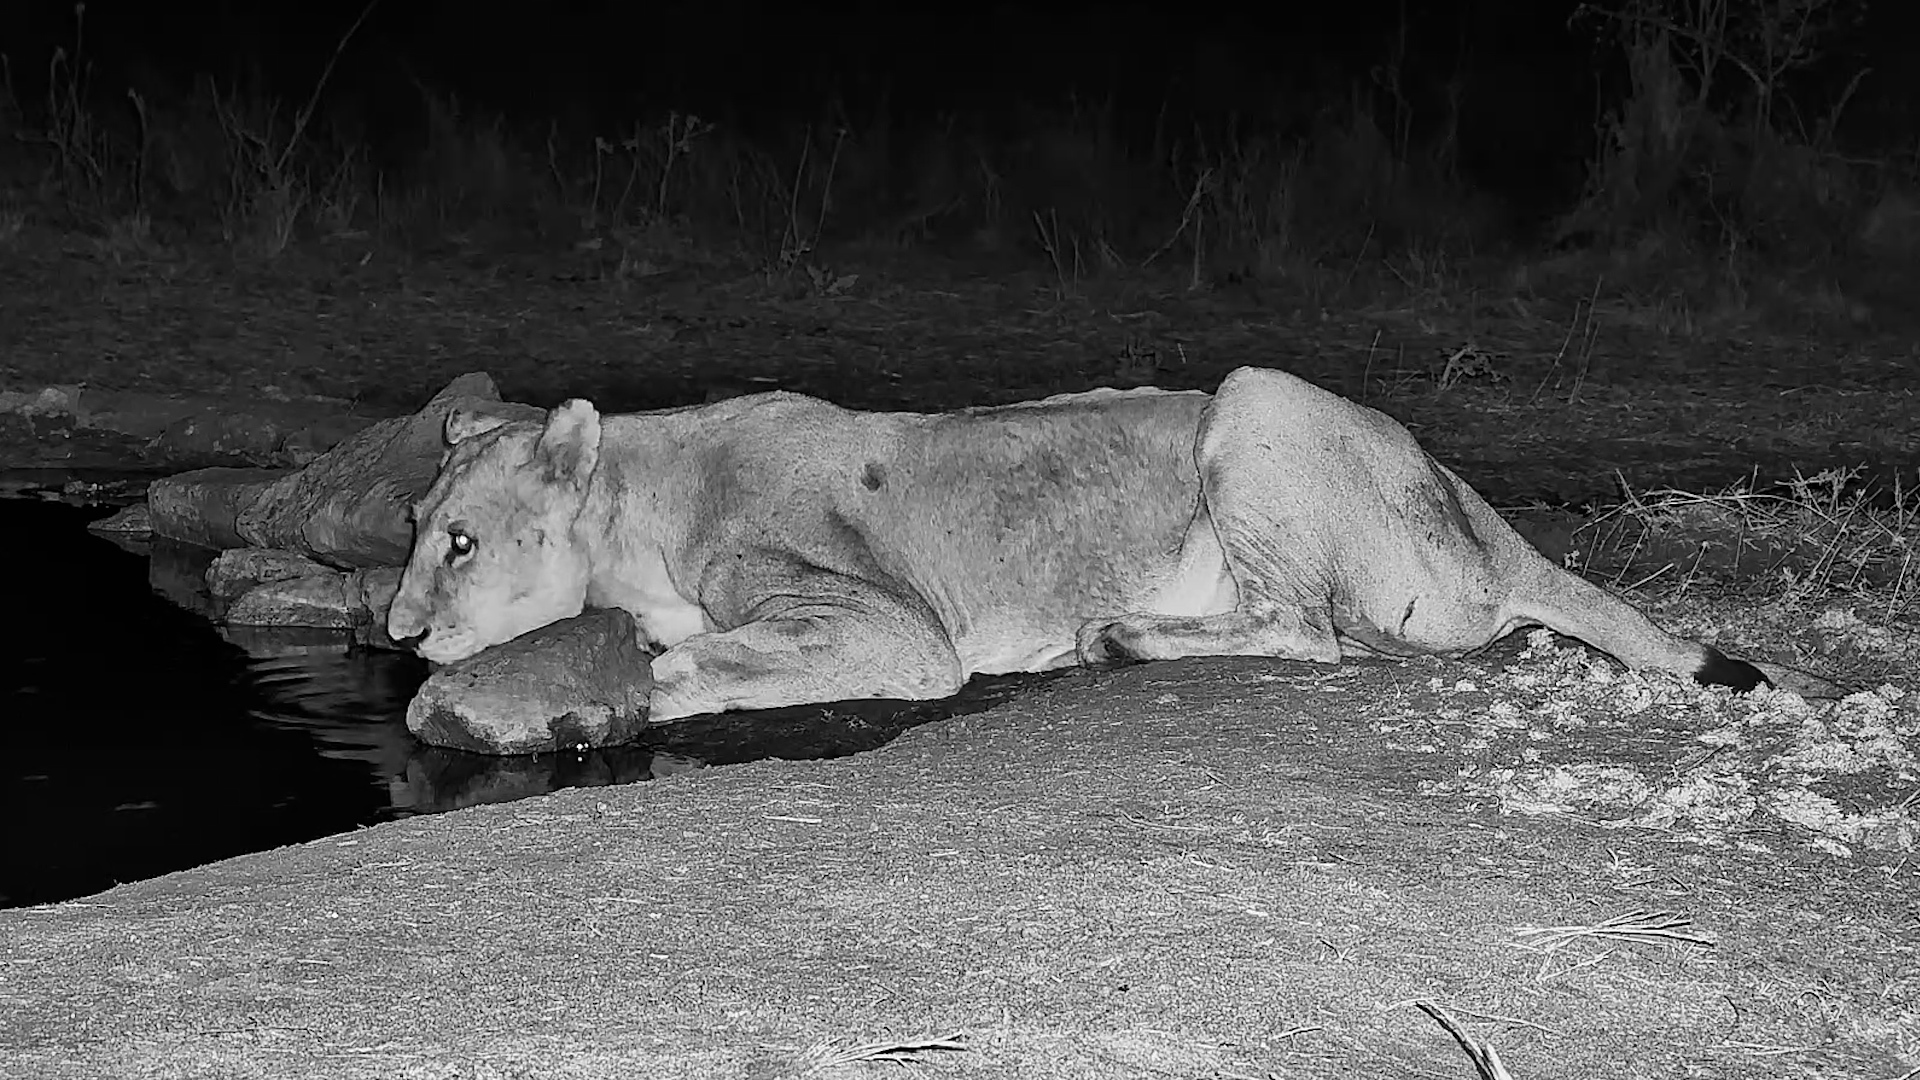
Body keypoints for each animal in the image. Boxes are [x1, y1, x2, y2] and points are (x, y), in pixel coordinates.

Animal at [387, 366, 1772, 723]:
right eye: (408, 529)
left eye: (460, 542)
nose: (394, 633)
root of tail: (1480, 508)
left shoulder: (903, 634)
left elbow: (736, 655)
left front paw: (665, 678)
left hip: (1250, 401)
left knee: (1315, 637)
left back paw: (1113, 636)